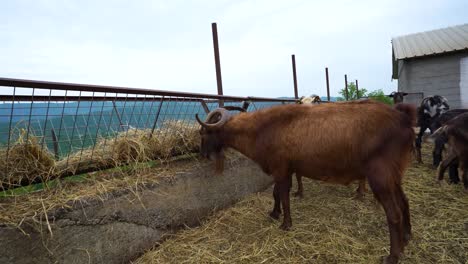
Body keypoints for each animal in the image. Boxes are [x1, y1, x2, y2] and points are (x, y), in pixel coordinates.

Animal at [196, 100, 414, 262]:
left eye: (203, 132)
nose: (203, 154)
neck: (262, 130)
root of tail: (404, 121)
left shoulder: (280, 169)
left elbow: (283, 195)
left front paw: (285, 224)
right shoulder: (286, 169)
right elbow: (276, 193)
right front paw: (275, 213)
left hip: (381, 177)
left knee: (394, 214)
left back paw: (393, 256)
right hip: (394, 176)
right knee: (404, 202)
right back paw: (406, 238)